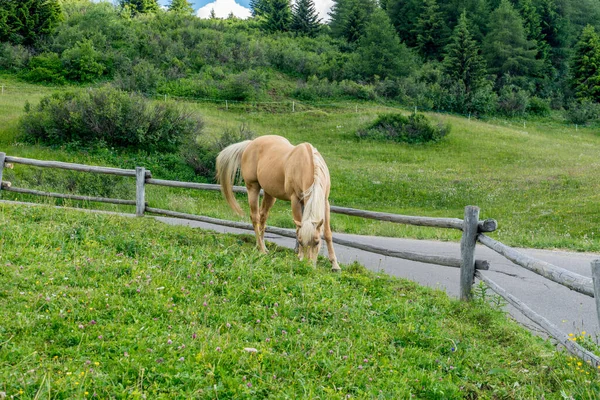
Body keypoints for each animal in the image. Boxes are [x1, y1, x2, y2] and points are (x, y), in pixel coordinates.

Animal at [216, 135, 340, 272]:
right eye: (301, 242)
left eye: (317, 242)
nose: (307, 267)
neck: (307, 164)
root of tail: (250, 144)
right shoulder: (295, 200)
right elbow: (298, 229)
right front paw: (300, 256)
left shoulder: (325, 202)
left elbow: (328, 233)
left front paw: (335, 265)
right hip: (252, 187)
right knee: (255, 217)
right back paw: (262, 249)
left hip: (269, 194)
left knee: (263, 217)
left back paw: (262, 246)